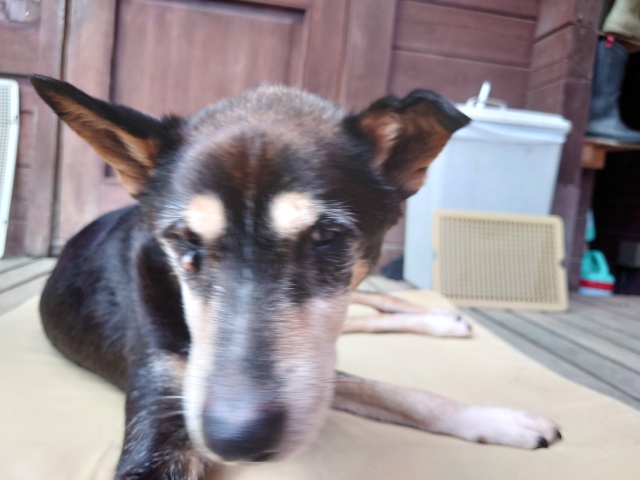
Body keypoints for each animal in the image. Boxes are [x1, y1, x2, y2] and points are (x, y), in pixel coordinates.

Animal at [32, 75, 561, 479]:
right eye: (185, 244)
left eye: (326, 237)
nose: (237, 438)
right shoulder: (165, 402)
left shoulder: (313, 368)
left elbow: (399, 393)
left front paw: (498, 420)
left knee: (372, 307)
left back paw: (443, 319)